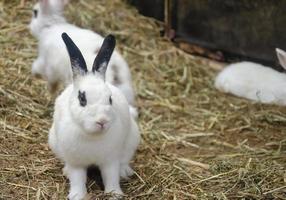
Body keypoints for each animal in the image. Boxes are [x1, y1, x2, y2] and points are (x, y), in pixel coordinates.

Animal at [49, 33, 141, 200]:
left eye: (110, 99)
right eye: (82, 99)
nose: (102, 121)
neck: (92, 136)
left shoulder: (110, 160)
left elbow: (111, 177)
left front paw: (115, 195)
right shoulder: (76, 163)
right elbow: (77, 179)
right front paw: (77, 196)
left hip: (132, 140)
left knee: (124, 161)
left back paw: (125, 172)